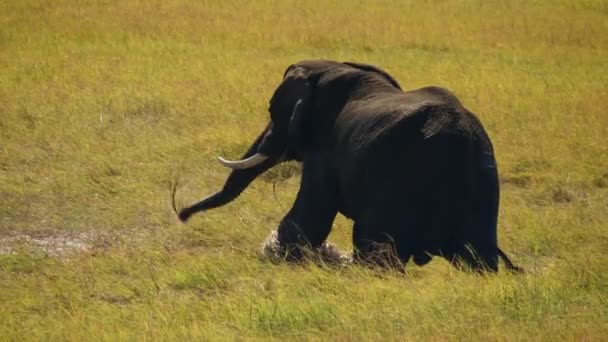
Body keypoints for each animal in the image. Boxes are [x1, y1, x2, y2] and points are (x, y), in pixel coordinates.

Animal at [176, 59, 524, 272]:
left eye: (273, 111)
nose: (182, 214)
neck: (332, 68)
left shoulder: (324, 150)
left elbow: (307, 220)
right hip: (482, 183)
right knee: (477, 258)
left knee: (372, 245)